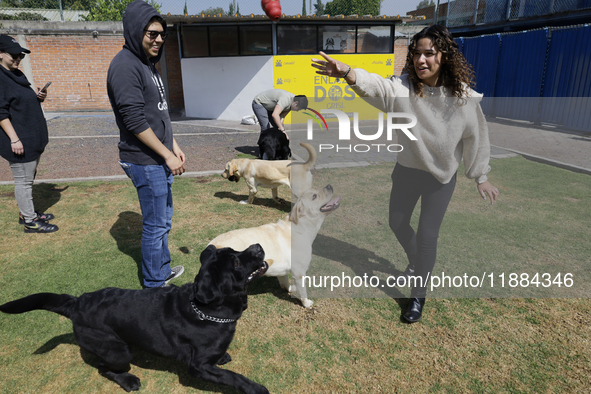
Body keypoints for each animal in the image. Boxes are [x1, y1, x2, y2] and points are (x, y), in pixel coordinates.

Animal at [0, 245, 268, 392]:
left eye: (234, 250)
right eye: (236, 262)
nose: (257, 246)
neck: (206, 310)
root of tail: (77, 302)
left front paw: (222, 356)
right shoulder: (198, 367)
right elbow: (233, 377)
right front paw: (256, 388)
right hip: (117, 351)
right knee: (103, 368)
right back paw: (128, 380)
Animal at [208, 185, 340, 308]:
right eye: (314, 196)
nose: (329, 185)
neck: (302, 226)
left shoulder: (282, 271)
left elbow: (285, 283)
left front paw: (290, 289)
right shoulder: (299, 273)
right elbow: (303, 292)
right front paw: (306, 303)